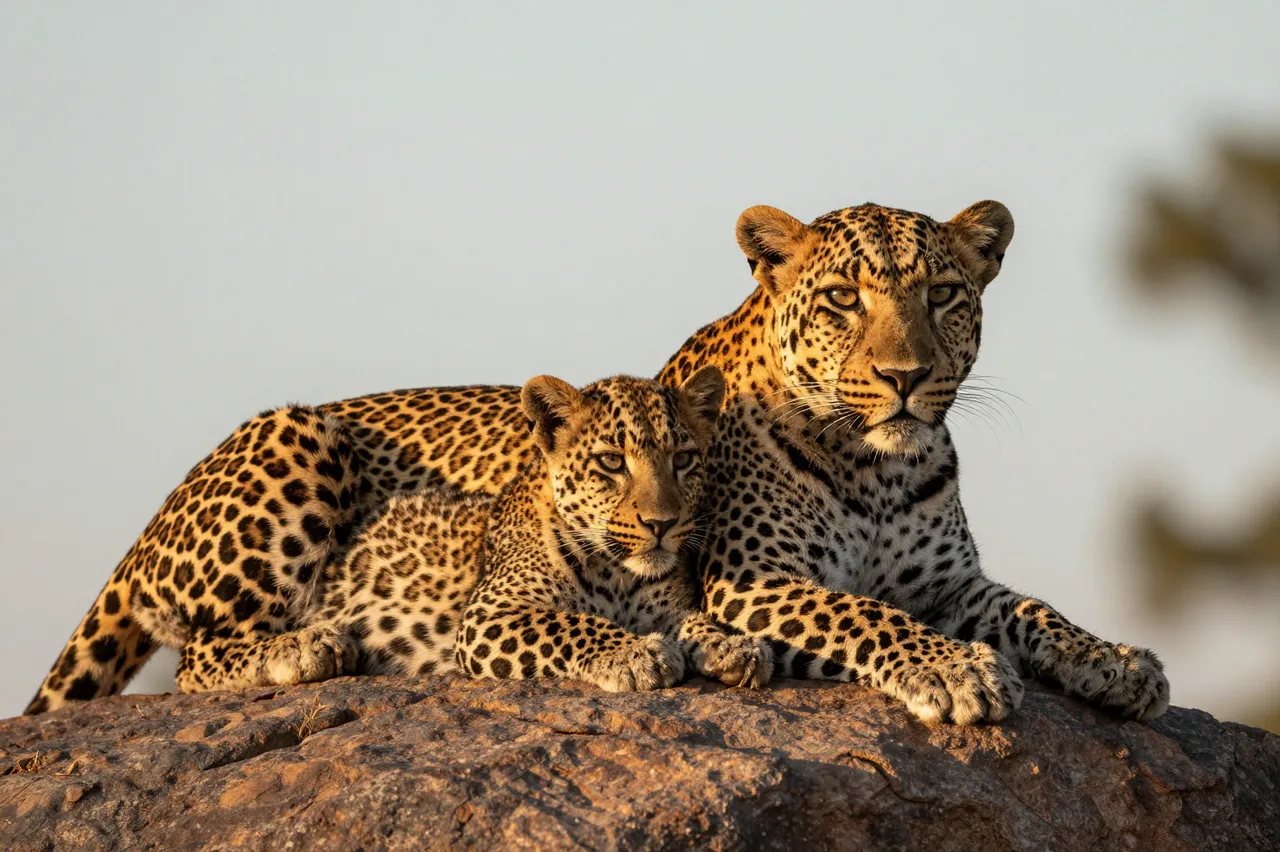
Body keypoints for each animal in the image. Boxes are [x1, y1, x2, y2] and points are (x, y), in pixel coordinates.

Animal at [212, 368, 770, 693]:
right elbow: (570, 623)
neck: (618, 572)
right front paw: (633, 653)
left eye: (684, 460)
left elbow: (695, 621)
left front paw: (732, 646)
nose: (662, 524)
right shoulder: (489, 614)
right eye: (612, 462)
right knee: (210, 647)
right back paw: (307, 648)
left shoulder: (666, 609)